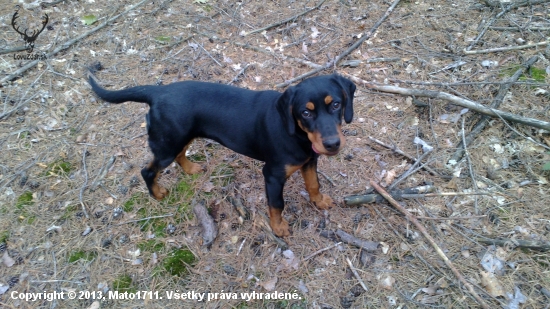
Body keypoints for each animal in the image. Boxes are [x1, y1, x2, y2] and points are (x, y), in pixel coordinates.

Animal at [89, 74, 358, 236]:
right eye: (306, 112)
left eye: (336, 104)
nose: (332, 144)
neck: (297, 134)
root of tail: (157, 93)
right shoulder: (272, 175)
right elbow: (276, 204)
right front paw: (278, 227)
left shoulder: (310, 160)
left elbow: (313, 184)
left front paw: (320, 201)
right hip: (167, 145)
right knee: (148, 170)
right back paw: (157, 194)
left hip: (182, 136)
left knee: (180, 154)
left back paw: (191, 169)